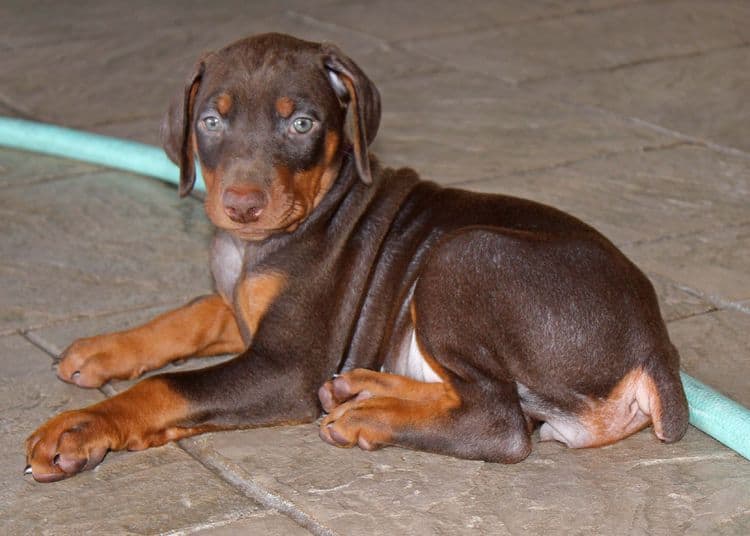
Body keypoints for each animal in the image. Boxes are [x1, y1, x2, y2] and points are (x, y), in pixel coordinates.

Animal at [26, 34, 692, 486]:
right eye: (211, 120)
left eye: (301, 123)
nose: (243, 205)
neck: (257, 245)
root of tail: (654, 349)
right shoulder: (246, 310)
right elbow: (192, 311)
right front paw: (105, 349)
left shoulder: (287, 366)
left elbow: (170, 386)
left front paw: (81, 427)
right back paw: (366, 388)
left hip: (459, 255)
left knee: (501, 423)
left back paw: (366, 417)